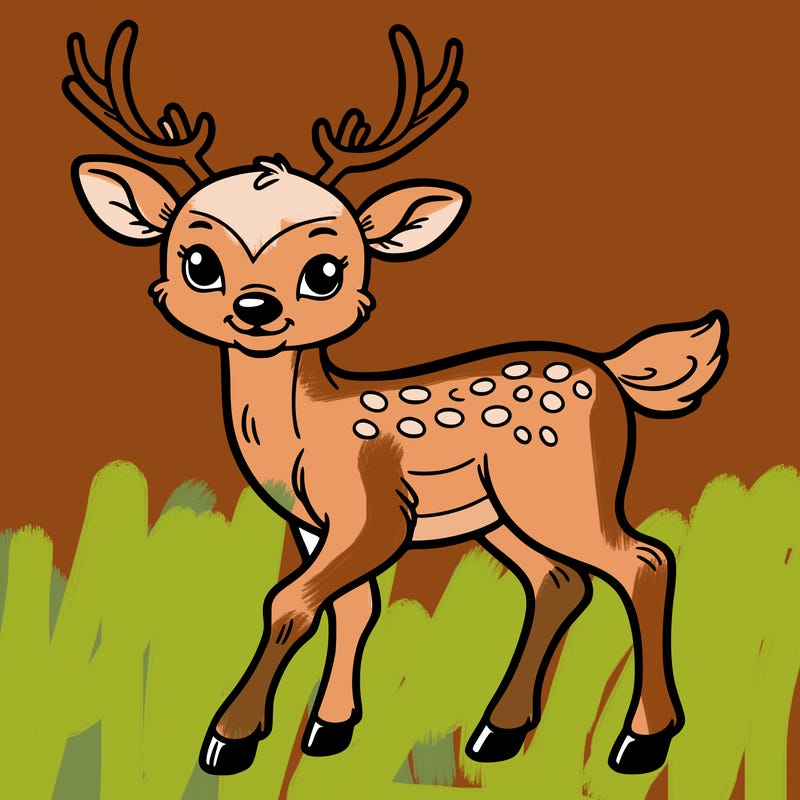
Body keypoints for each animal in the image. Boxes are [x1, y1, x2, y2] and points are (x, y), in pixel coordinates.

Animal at [64, 20, 728, 778]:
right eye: (199, 262)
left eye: (325, 270)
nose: (256, 309)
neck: (306, 432)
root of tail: (613, 371)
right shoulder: (315, 523)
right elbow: (353, 607)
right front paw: (328, 730)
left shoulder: (375, 511)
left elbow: (288, 601)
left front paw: (229, 739)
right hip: (501, 513)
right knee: (560, 581)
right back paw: (497, 733)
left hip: (564, 488)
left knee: (645, 561)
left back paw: (640, 742)